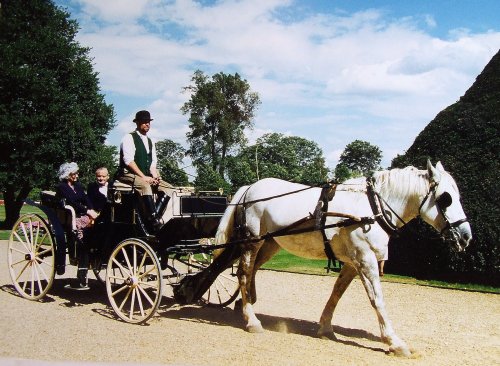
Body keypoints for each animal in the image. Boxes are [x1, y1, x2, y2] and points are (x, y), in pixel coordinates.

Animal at [216, 159, 472, 354]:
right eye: (445, 198)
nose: (466, 236)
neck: (373, 208)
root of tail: (250, 188)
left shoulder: (352, 262)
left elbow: (336, 293)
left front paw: (325, 328)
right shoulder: (365, 260)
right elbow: (377, 299)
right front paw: (393, 341)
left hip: (270, 245)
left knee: (251, 272)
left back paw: (244, 305)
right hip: (252, 241)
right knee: (243, 273)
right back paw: (252, 320)